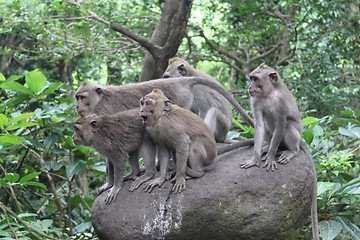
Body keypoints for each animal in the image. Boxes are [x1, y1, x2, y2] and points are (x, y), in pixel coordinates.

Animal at [239, 63, 320, 240]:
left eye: (255, 79)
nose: (249, 87)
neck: (268, 95)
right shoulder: (255, 100)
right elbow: (259, 125)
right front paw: (255, 158)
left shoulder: (281, 102)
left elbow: (281, 123)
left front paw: (270, 158)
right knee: (268, 126)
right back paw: (267, 146)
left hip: (295, 137)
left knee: (288, 126)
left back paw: (289, 151)